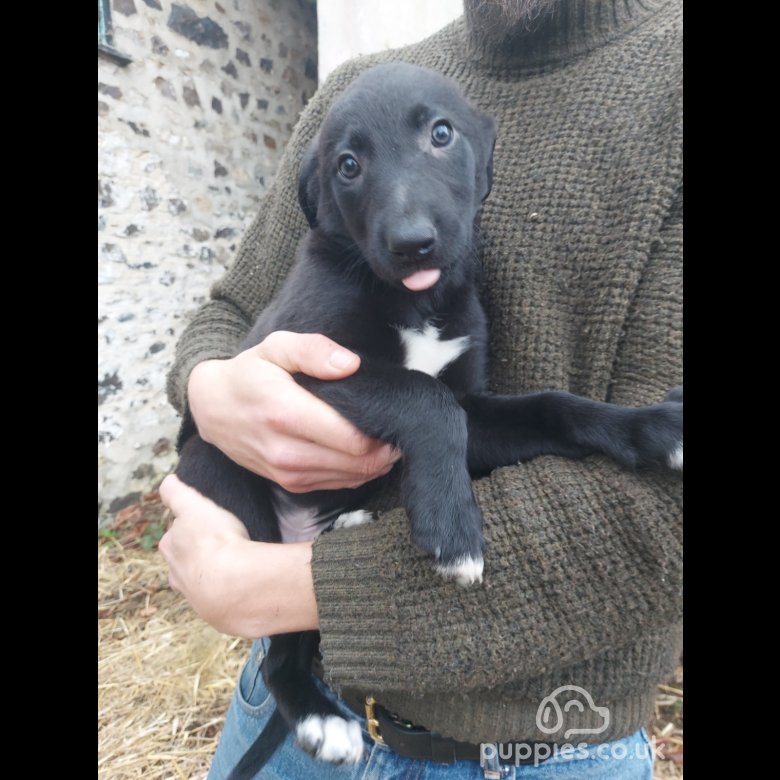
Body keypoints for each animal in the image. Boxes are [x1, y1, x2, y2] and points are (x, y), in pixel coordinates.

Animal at [175, 62, 684, 772]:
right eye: (349, 165)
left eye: (441, 134)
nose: (412, 244)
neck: (419, 303)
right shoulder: (300, 372)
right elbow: (425, 400)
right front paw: (453, 528)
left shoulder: (480, 411)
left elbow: (552, 406)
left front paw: (654, 426)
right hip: (231, 482)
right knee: (277, 647)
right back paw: (319, 719)